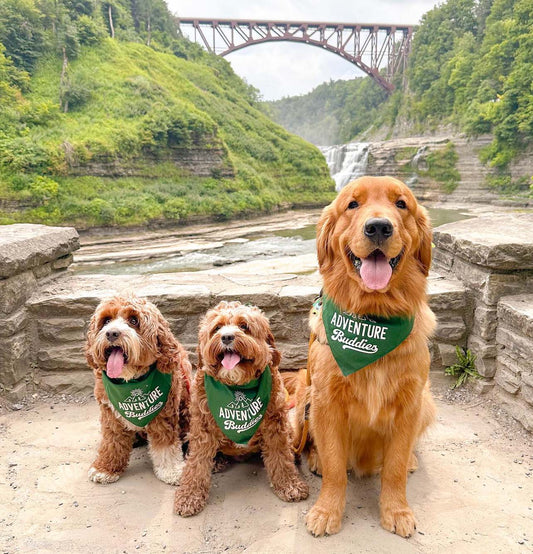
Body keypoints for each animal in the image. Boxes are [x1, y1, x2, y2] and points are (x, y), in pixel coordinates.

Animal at [87, 294, 193, 484]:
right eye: (106, 320)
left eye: (134, 320)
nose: (111, 333)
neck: (130, 381)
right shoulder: (110, 414)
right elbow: (111, 442)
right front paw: (105, 468)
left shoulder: (163, 414)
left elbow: (165, 446)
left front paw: (171, 470)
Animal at [175, 300, 308, 516]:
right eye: (217, 328)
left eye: (244, 326)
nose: (227, 337)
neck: (236, 385)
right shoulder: (202, 429)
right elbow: (196, 464)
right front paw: (189, 496)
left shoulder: (275, 427)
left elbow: (281, 456)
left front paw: (290, 484)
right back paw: (217, 460)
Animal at [288, 176, 434, 536]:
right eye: (352, 204)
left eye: (401, 204)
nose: (378, 227)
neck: (373, 318)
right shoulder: (326, 402)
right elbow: (335, 467)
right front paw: (327, 510)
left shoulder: (410, 403)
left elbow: (394, 467)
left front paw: (396, 511)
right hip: (305, 395)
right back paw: (314, 460)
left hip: (427, 400)